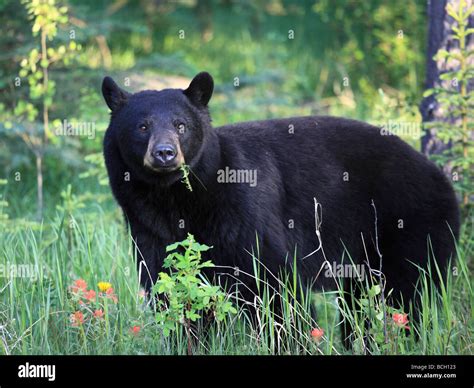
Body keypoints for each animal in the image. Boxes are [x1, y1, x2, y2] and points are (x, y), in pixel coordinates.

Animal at [103, 72, 460, 342]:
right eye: (142, 126)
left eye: (181, 125)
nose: (164, 153)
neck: (176, 198)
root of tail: (440, 176)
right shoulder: (149, 230)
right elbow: (172, 294)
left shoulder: (244, 214)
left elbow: (277, 288)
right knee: (359, 307)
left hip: (410, 227)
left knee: (408, 295)